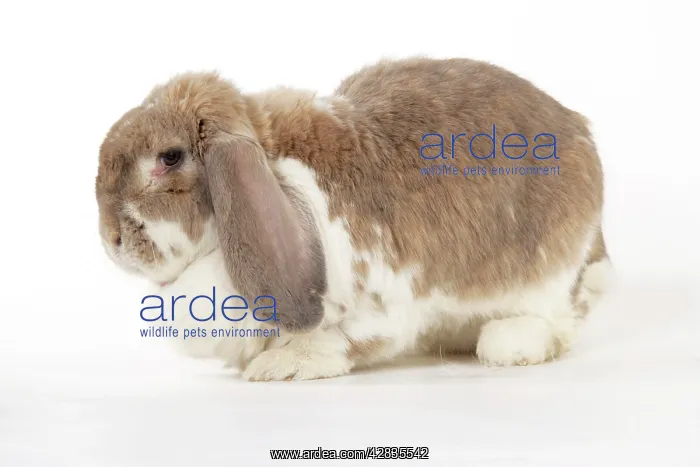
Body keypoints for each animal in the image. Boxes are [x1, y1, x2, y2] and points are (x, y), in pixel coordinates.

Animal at [95, 57, 611, 381]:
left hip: (549, 279)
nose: (111, 239)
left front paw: (283, 365)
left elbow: (345, 341)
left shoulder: (384, 303)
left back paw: (510, 343)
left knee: (561, 323)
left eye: (170, 157)